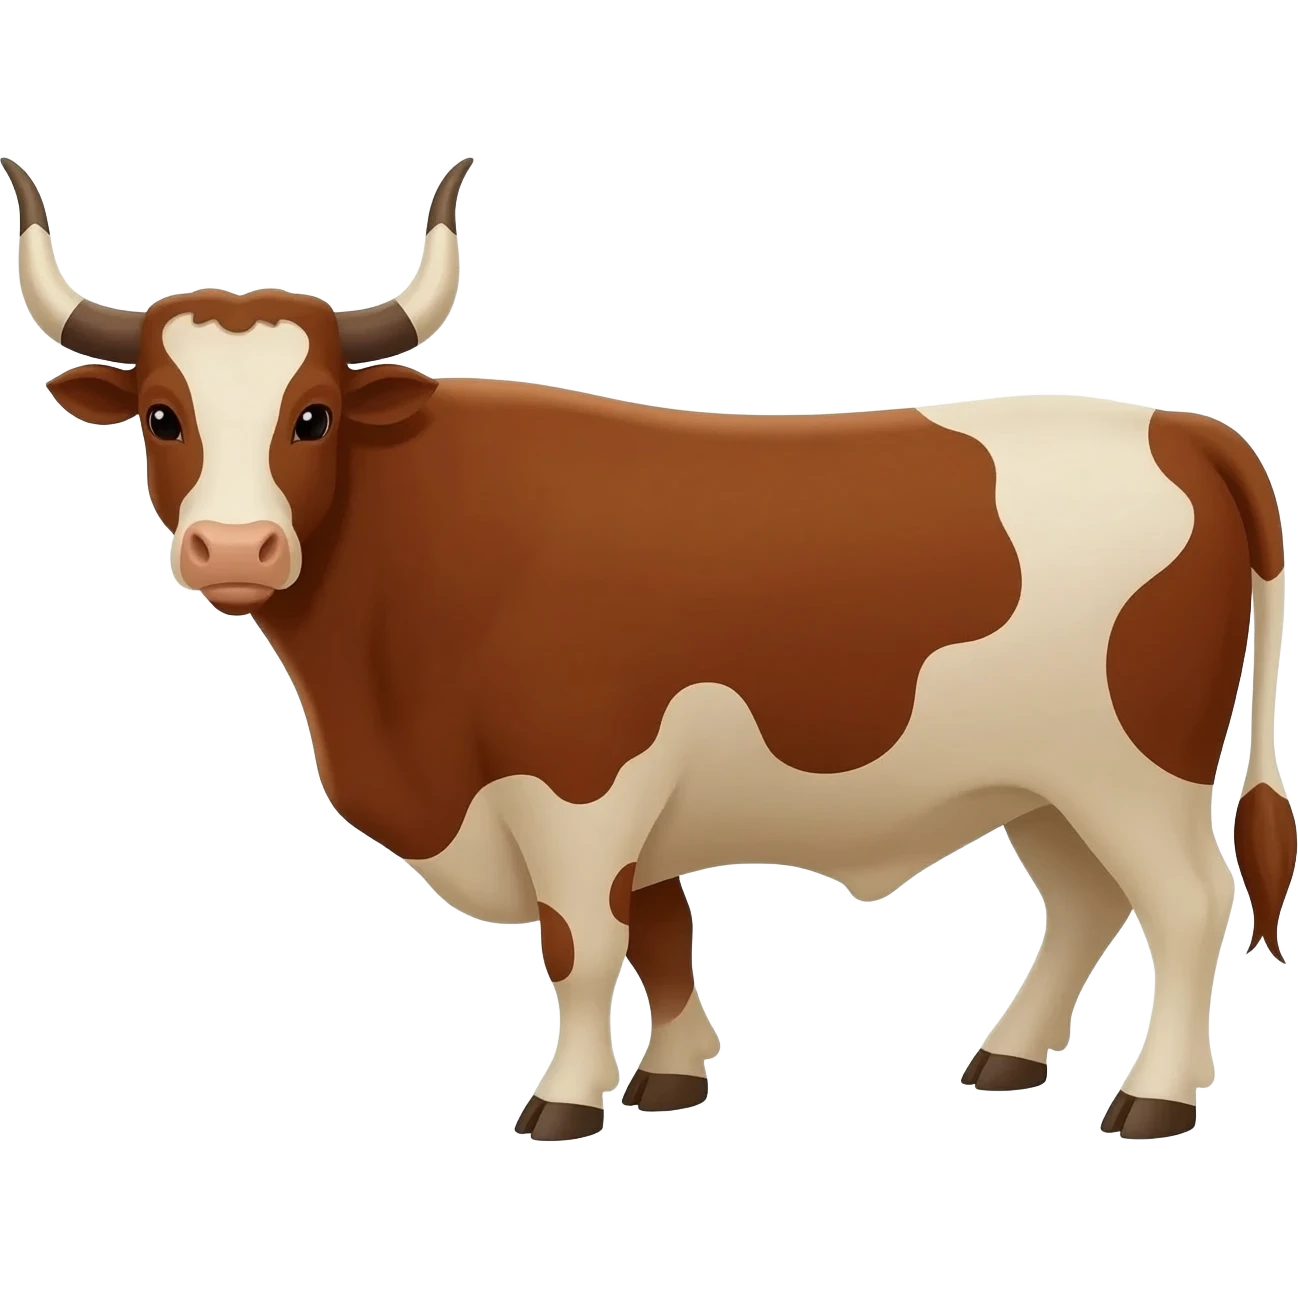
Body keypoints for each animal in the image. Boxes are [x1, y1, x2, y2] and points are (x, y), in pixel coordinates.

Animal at [5, 156, 1294, 1145]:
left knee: (1185, 901)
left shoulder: (576, 782)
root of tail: (1174, 422)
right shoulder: (633, 803)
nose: (235, 546)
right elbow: (664, 931)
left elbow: (582, 944)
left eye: (311, 415)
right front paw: (672, 1073)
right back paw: (1012, 1057)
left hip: (1137, 766)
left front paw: (568, 1098)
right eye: (163, 416)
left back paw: (1155, 1095)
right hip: (1045, 781)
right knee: (1083, 902)